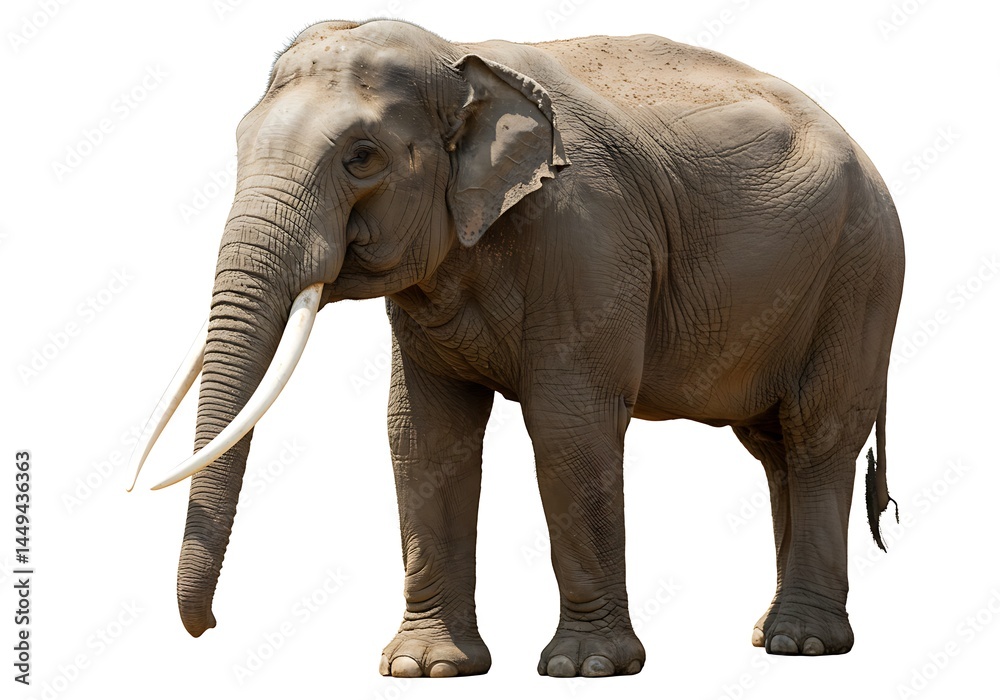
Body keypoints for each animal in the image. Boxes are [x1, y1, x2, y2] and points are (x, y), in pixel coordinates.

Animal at [128, 19, 904, 678]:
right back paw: (769, 634)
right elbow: (424, 433)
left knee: (817, 436)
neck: (459, 56)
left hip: (861, 275)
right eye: (238, 142)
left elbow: (569, 423)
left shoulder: (588, 236)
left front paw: (585, 668)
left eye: (360, 158)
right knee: (775, 450)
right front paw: (425, 668)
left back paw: (802, 645)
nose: (209, 628)